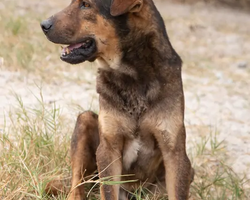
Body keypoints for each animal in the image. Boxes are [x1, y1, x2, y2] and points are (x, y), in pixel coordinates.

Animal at [40, 0, 193, 199]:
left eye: (85, 5)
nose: (43, 25)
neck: (132, 75)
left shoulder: (174, 151)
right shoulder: (108, 149)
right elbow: (107, 189)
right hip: (85, 120)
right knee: (77, 184)